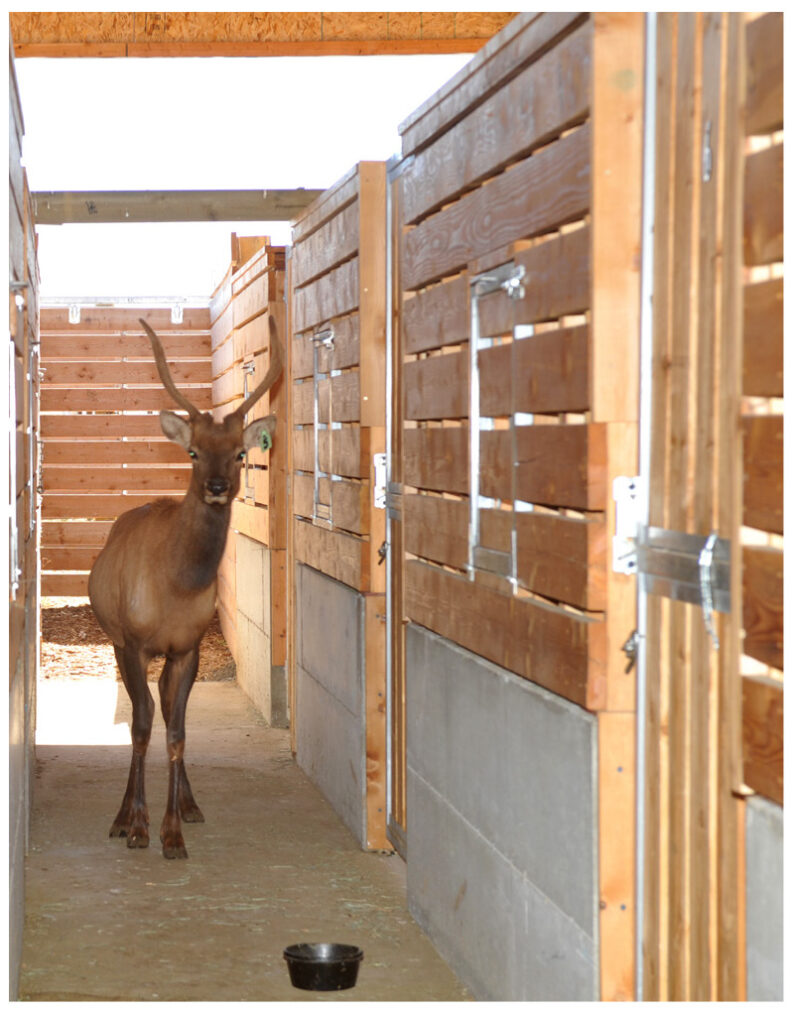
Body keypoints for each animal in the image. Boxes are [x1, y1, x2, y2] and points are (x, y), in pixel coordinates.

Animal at [88, 315, 282, 858]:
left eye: (238, 452)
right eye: (193, 451)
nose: (216, 487)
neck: (174, 587)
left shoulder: (189, 645)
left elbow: (176, 731)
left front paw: (172, 831)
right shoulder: (132, 641)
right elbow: (139, 726)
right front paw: (135, 825)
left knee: (165, 706)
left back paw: (190, 805)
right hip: (115, 640)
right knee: (144, 710)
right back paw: (122, 816)